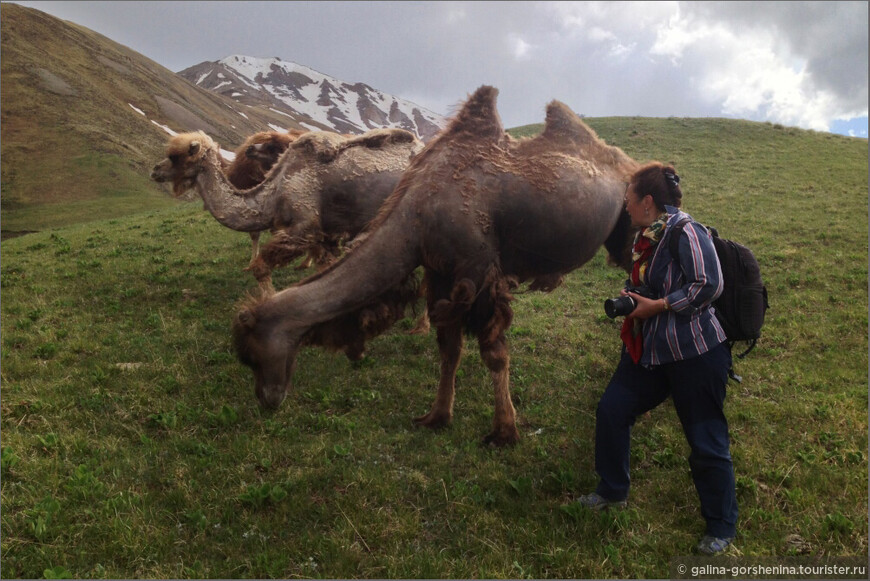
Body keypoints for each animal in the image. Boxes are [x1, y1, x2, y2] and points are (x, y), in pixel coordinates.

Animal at [152, 129, 428, 288]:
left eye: (176, 157)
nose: (154, 170)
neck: (274, 193)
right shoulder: (326, 235)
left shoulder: (302, 227)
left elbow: (261, 268)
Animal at [235, 85, 636, 444]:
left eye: (250, 355)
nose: (267, 399)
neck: (417, 219)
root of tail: (622, 160)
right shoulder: (442, 274)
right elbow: (449, 349)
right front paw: (438, 416)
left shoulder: (480, 273)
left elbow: (494, 355)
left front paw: (504, 431)